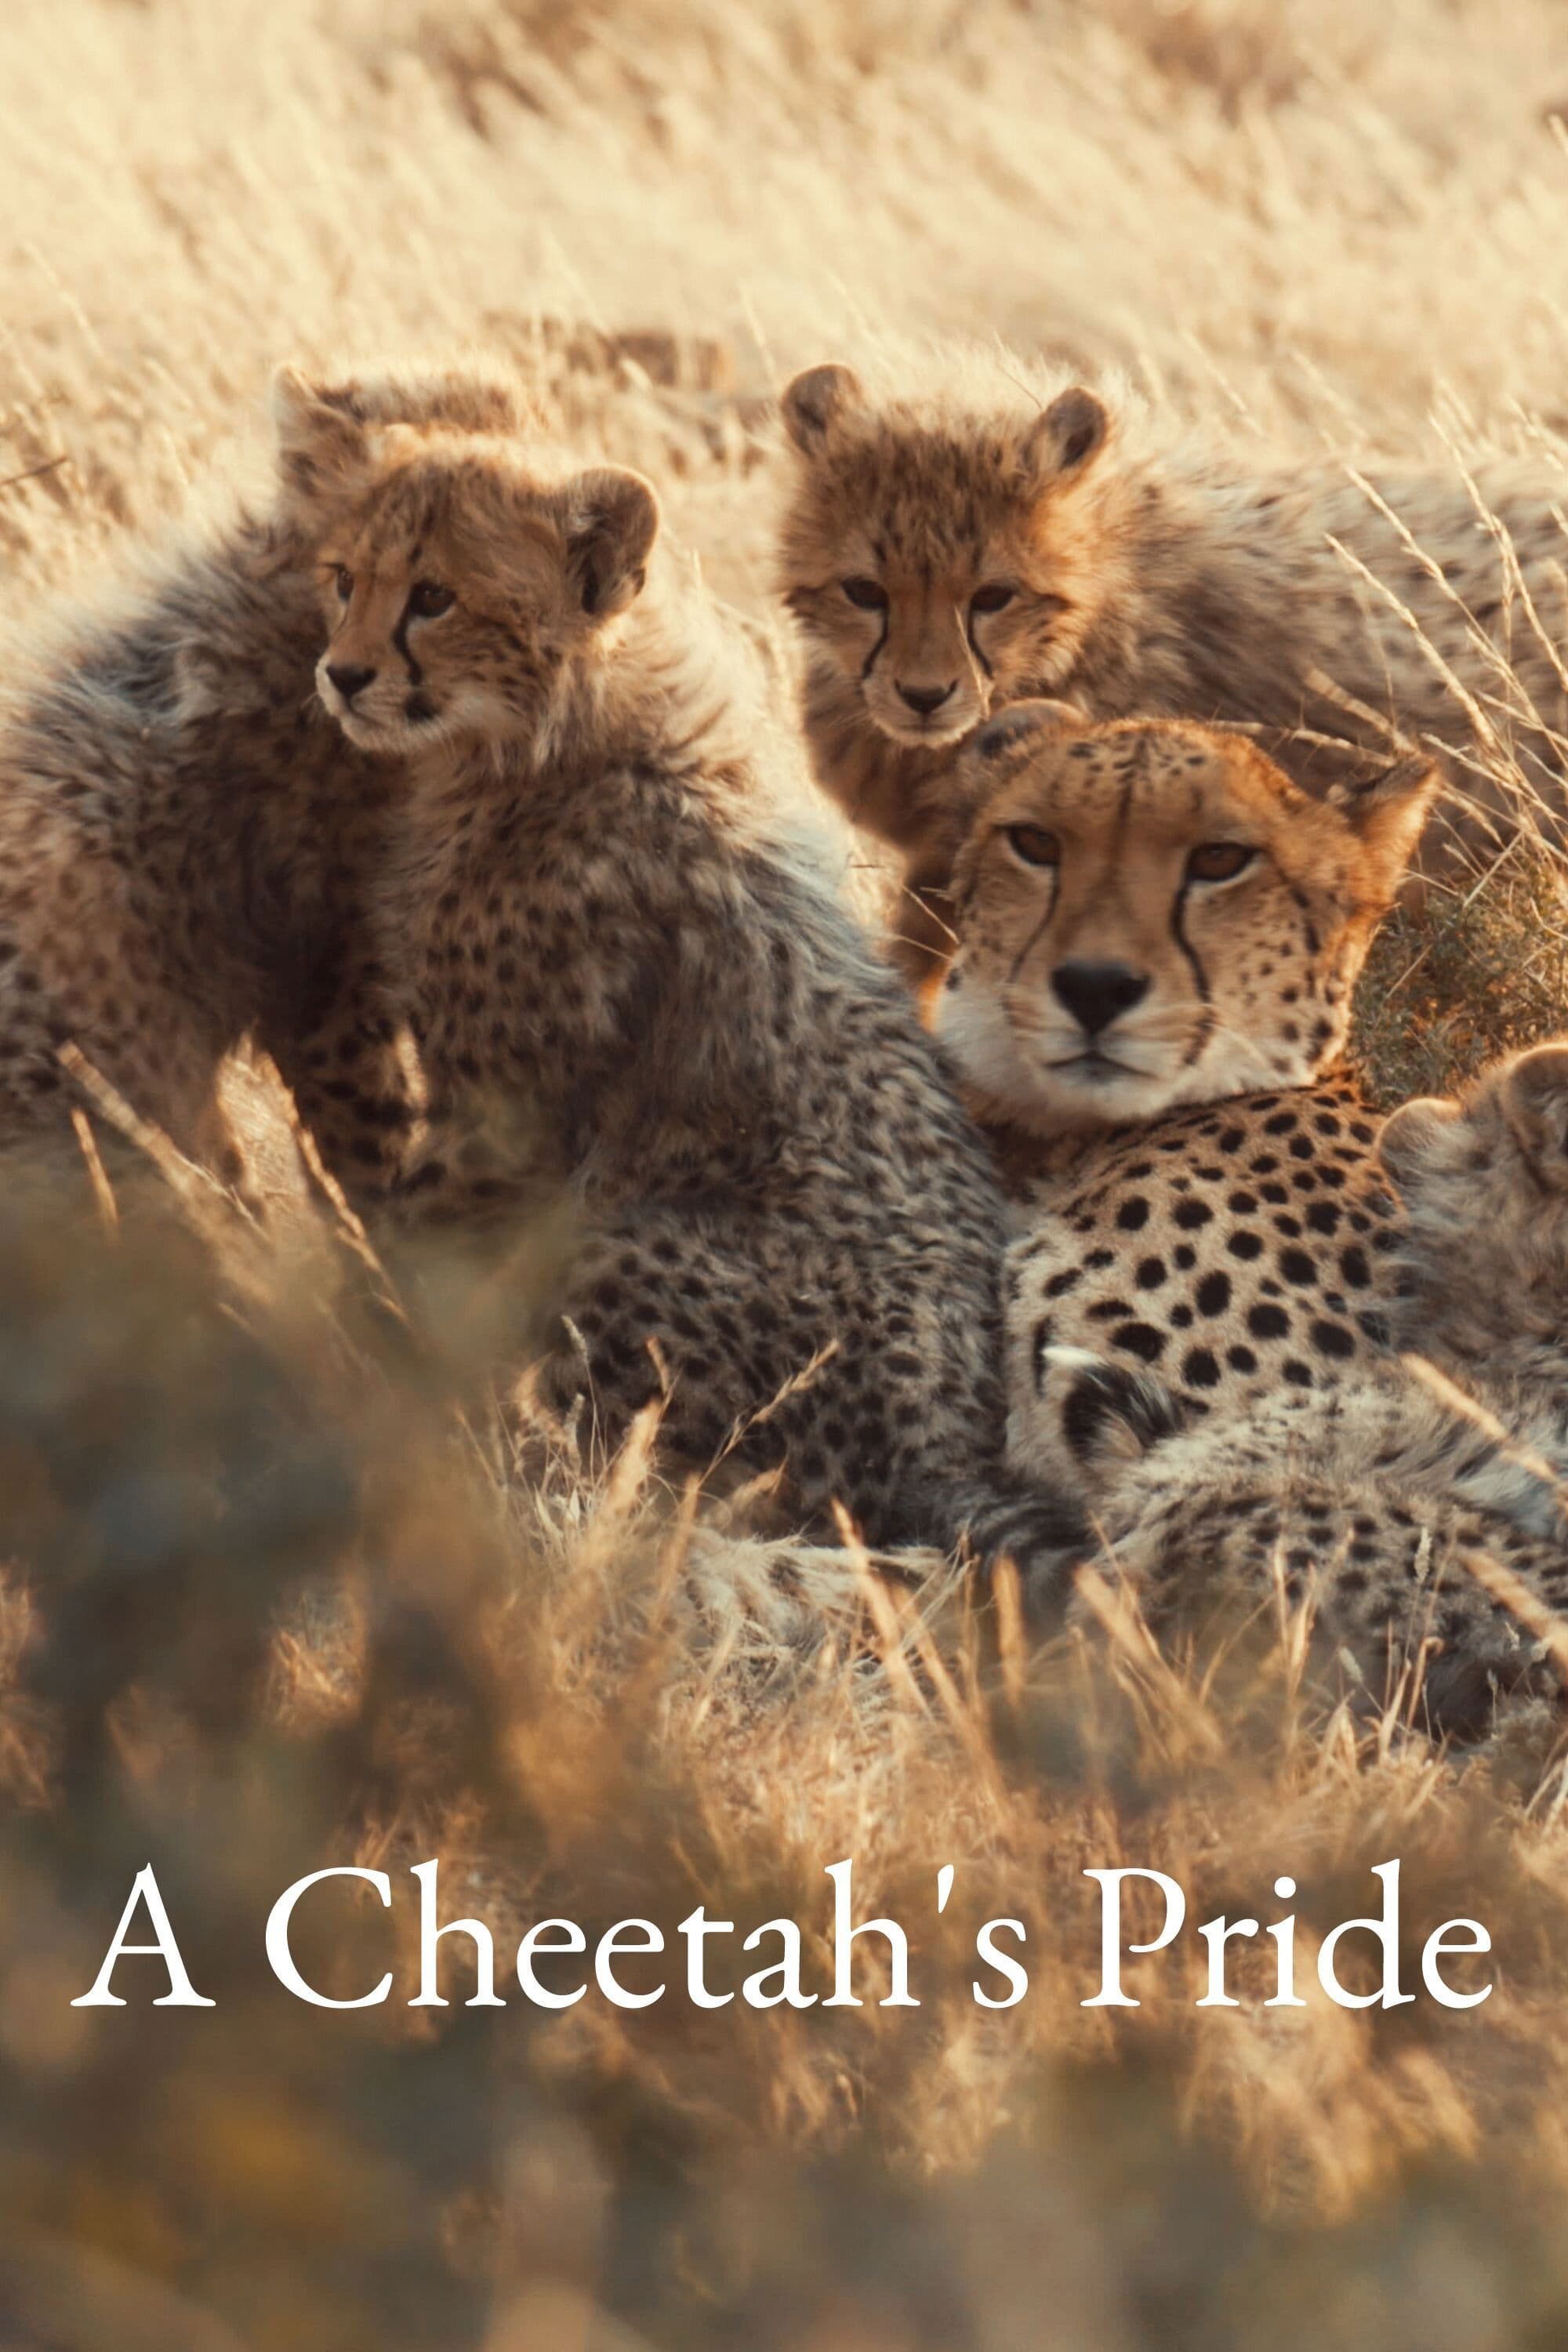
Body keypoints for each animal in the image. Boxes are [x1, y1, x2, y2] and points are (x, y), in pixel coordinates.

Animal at [279, 363, 1081, 1583]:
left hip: (606, 1239)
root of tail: (944, 1443)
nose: (342, 674)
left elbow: (416, 1249)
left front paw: (363, 1365)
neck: (545, 736)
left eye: (434, 597)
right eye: (343, 579)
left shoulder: (499, 1115)